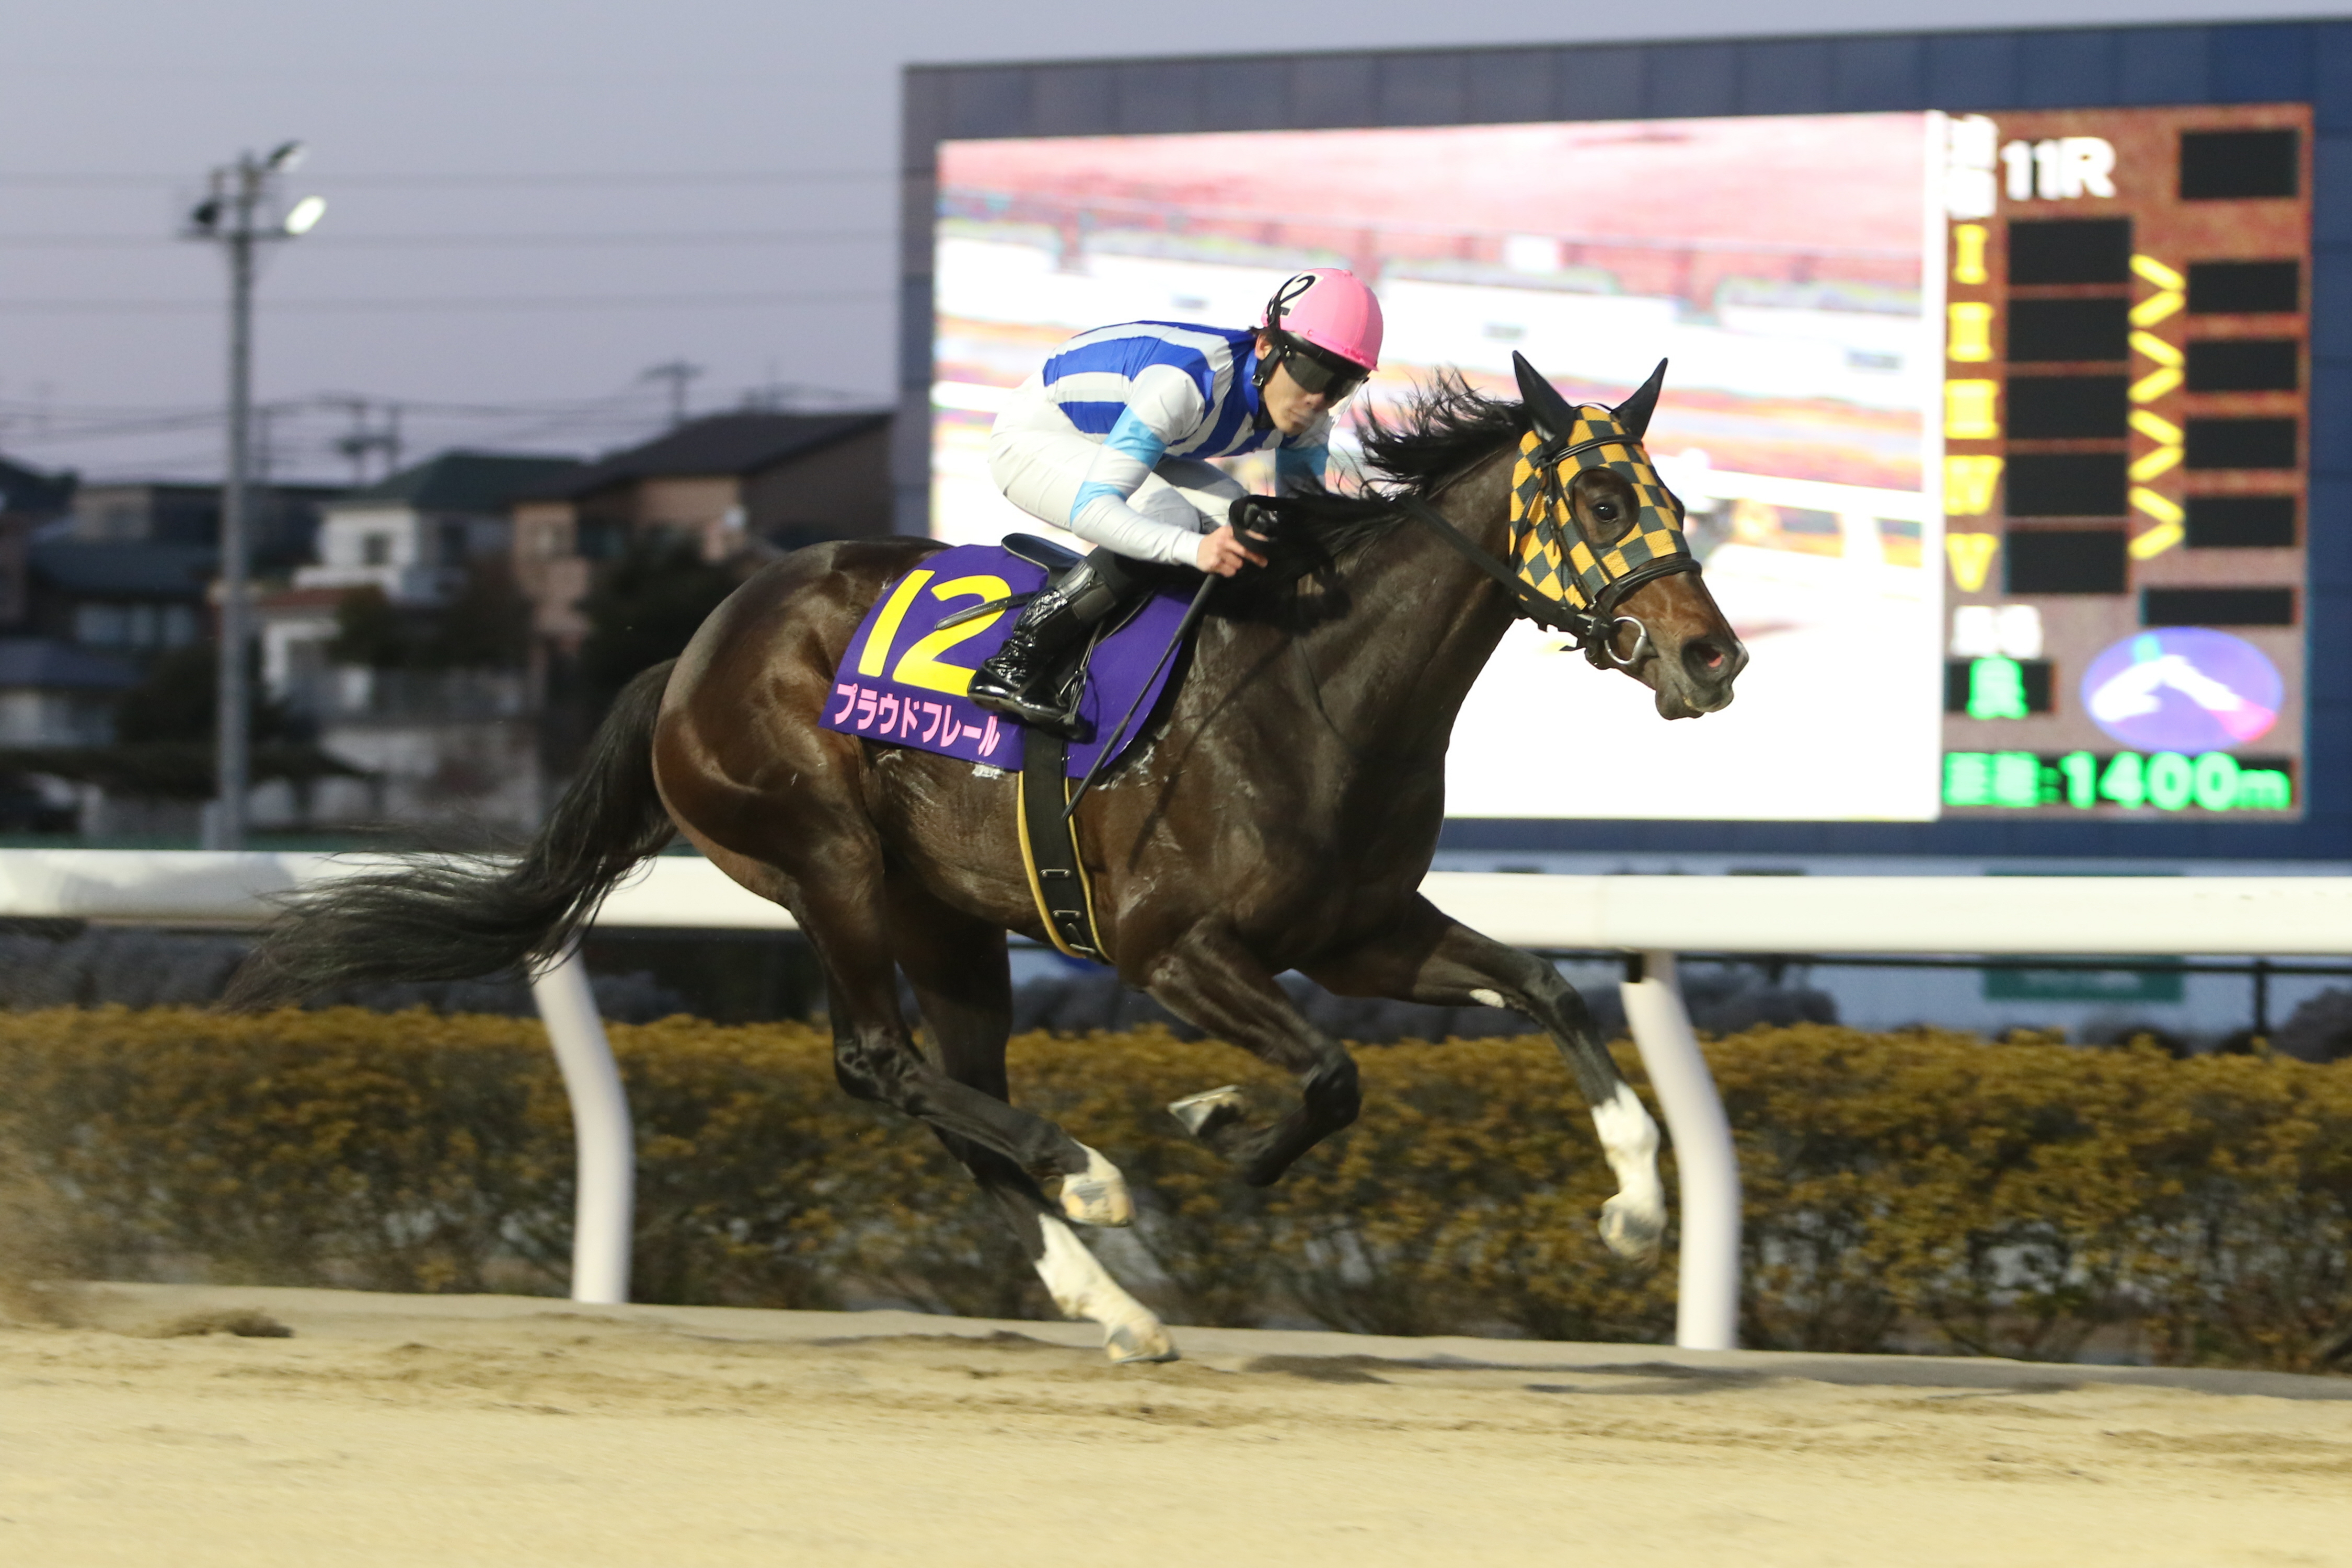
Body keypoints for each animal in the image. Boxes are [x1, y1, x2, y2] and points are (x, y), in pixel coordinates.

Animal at [232, 356, 1749, 1362]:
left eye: (1671, 497)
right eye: (1599, 500)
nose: (1710, 657)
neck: (1320, 685)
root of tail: (696, 649)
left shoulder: (1356, 931)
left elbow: (1541, 988)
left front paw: (1633, 1210)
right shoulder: (1171, 948)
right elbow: (1330, 1075)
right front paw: (1212, 1124)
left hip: (948, 920)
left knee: (956, 1099)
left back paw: (1112, 1303)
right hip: (825, 862)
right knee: (878, 1063)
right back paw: (1088, 1177)